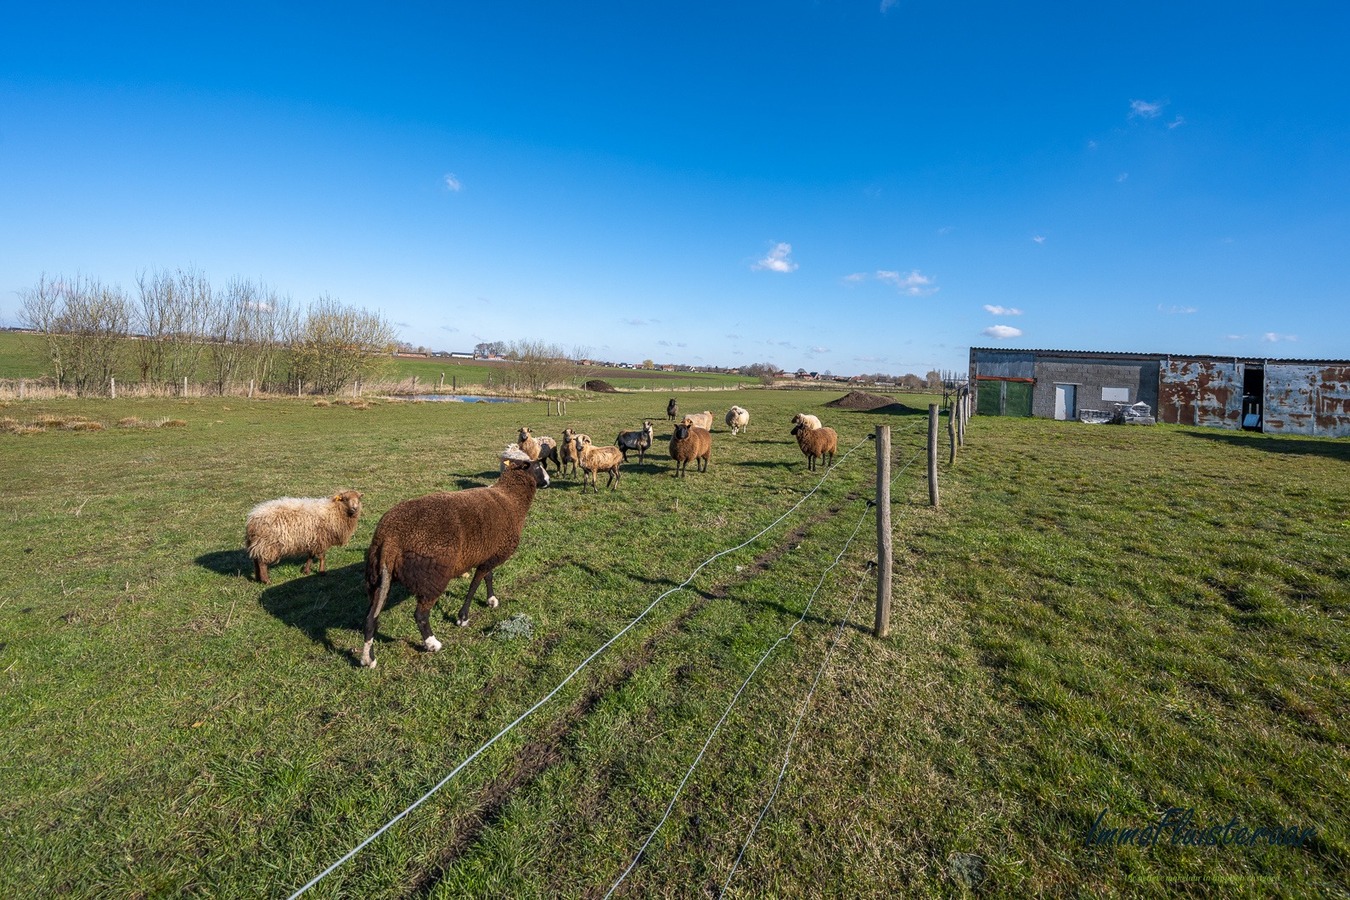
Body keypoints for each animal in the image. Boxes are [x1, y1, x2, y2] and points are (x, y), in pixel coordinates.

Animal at [361, 445, 550, 669]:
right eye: (537, 466)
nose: (548, 481)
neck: (511, 499)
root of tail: (390, 537)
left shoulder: (487, 553)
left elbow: (488, 577)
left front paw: (491, 600)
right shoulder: (492, 555)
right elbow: (475, 584)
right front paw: (463, 617)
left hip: (377, 577)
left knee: (370, 618)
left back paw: (368, 658)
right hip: (432, 577)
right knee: (420, 615)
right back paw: (432, 643)